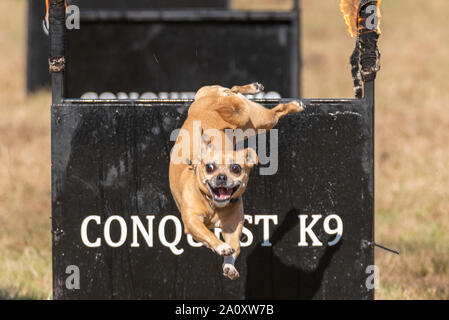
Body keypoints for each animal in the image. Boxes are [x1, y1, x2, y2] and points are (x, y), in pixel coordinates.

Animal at [169, 83, 304, 280]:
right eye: (209, 167)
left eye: (236, 169)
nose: (222, 177)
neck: (213, 205)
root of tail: (222, 98)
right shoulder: (192, 222)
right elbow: (208, 235)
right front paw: (221, 247)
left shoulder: (232, 229)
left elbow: (235, 248)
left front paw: (229, 266)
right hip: (256, 120)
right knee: (236, 90)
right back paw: (256, 90)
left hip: (260, 122)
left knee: (274, 109)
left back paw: (290, 104)